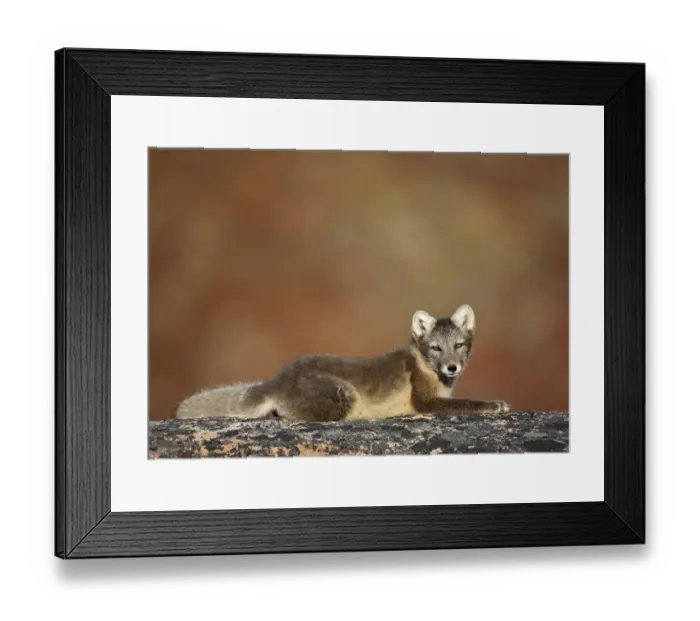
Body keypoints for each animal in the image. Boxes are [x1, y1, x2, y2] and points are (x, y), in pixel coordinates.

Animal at [174, 304, 511, 422]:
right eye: (435, 348)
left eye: (458, 346)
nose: (452, 367)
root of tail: (277, 378)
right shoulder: (425, 402)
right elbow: (467, 403)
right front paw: (495, 404)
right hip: (344, 393)